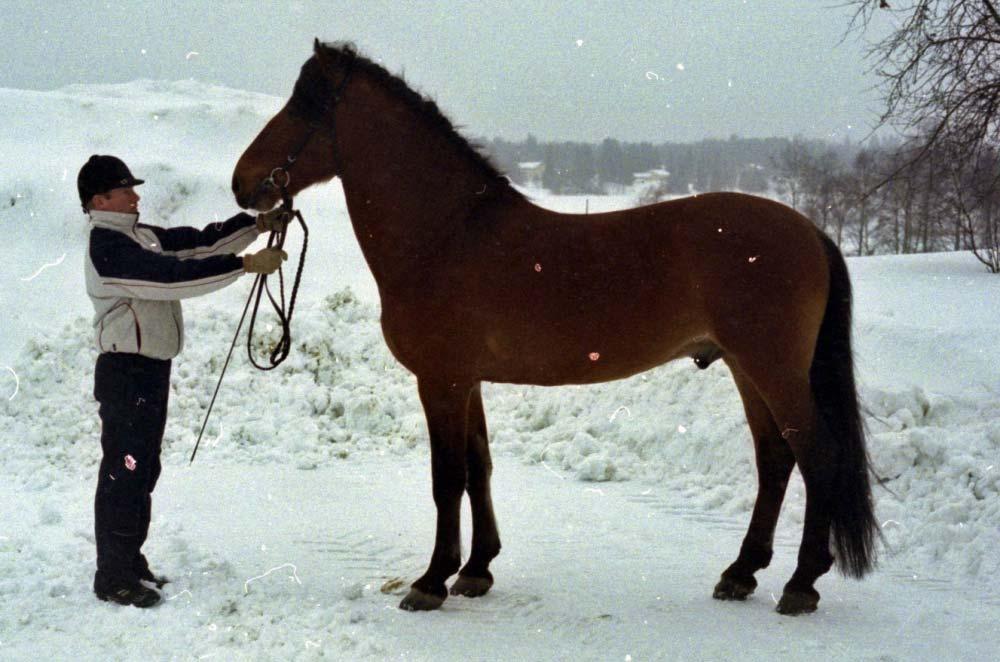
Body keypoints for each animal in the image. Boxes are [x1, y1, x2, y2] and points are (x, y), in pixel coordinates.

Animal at [232, 39, 876, 616]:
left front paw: (432, 581)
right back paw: (741, 573)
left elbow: (447, 479)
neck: (449, 234)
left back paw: (800, 584)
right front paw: (477, 570)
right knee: (776, 460)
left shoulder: (441, 381)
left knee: (816, 456)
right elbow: (479, 468)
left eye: (305, 106)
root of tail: (810, 232)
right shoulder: (467, 382)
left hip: (773, 368)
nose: (244, 182)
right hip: (745, 367)